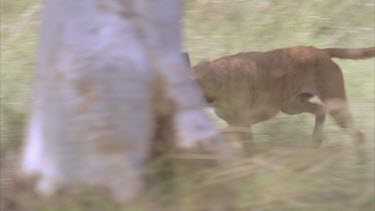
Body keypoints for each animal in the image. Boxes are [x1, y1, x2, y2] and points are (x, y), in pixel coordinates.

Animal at [192, 46, 374, 153]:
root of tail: (319, 50)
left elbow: (214, 136)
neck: (216, 78)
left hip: (336, 106)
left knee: (359, 135)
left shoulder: (240, 124)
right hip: (291, 106)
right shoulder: (241, 126)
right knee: (320, 110)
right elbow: (248, 150)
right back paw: (315, 142)